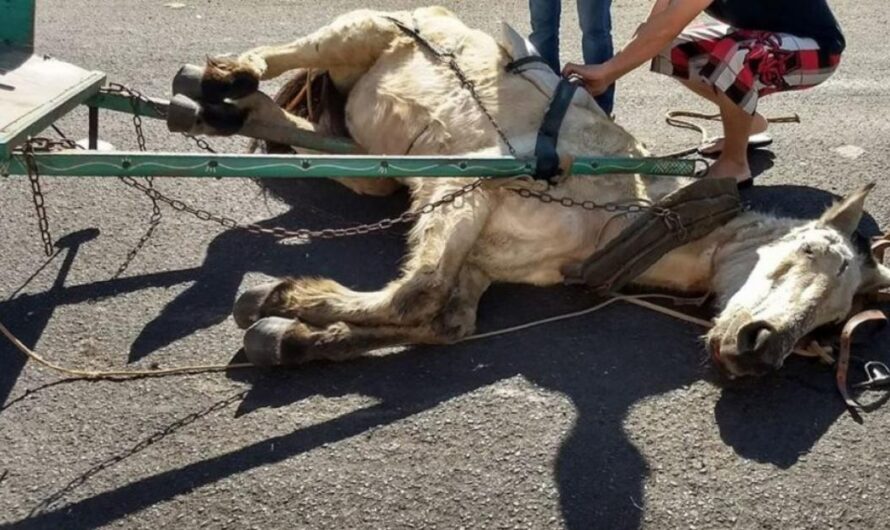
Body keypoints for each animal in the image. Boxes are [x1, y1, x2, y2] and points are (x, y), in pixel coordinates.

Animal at [194, 5, 888, 376]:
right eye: (806, 254)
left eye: (833, 322)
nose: (761, 349)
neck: (624, 213)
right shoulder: (465, 184)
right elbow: (420, 294)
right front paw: (276, 301)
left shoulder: (481, 260)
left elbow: (445, 322)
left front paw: (294, 331)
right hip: (357, 34)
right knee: (284, 54)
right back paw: (220, 78)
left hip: (372, 163)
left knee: (301, 132)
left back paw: (236, 111)